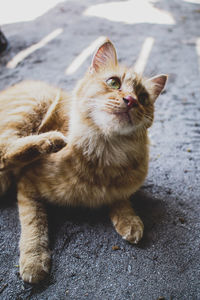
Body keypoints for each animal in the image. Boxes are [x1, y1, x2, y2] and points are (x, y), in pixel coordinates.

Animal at [0, 39, 167, 284]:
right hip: (35, 103)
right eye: (113, 83)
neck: (105, 154)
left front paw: (129, 218)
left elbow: (120, 197)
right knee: (4, 150)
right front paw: (34, 258)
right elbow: (34, 223)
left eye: (143, 97)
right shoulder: (28, 184)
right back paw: (50, 141)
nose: (131, 100)